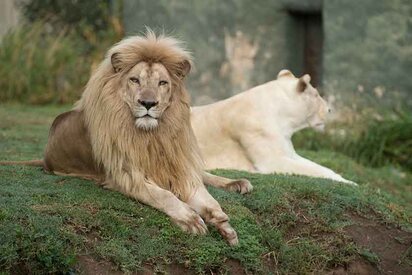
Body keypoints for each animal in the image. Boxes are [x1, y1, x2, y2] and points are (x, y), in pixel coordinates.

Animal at [1, 32, 253, 246]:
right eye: (134, 80)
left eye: (162, 83)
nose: (148, 103)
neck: (152, 136)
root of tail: (45, 158)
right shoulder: (124, 176)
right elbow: (164, 195)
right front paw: (190, 219)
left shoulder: (177, 167)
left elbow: (204, 196)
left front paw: (222, 222)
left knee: (202, 173)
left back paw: (238, 183)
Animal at [192, 69, 356, 187]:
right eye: (316, 95)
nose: (329, 110)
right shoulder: (266, 151)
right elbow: (310, 169)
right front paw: (350, 183)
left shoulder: (289, 150)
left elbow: (319, 166)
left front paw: (347, 179)